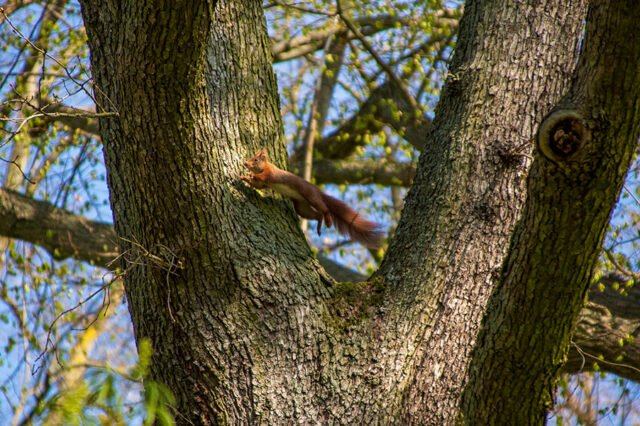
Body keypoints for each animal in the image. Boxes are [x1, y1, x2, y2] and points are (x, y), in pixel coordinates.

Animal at [241, 147, 383, 249]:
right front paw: (245, 178)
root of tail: (319, 192)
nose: (245, 163)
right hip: (302, 207)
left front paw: (250, 173)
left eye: (255, 159)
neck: (266, 166)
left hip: (312, 198)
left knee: (325, 209)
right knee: (317, 215)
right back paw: (319, 227)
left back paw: (328, 221)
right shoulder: (264, 183)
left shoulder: (270, 174)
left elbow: (261, 177)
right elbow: (257, 185)